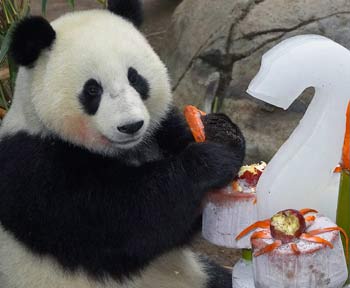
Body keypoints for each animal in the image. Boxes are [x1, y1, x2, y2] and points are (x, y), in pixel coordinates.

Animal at [0, 1, 246, 286]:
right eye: (92, 89)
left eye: (135, 77)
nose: (131, 126)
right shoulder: (35, 171)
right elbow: (128, 222)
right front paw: (208, 160)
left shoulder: (158, 131)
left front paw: (221, 132)